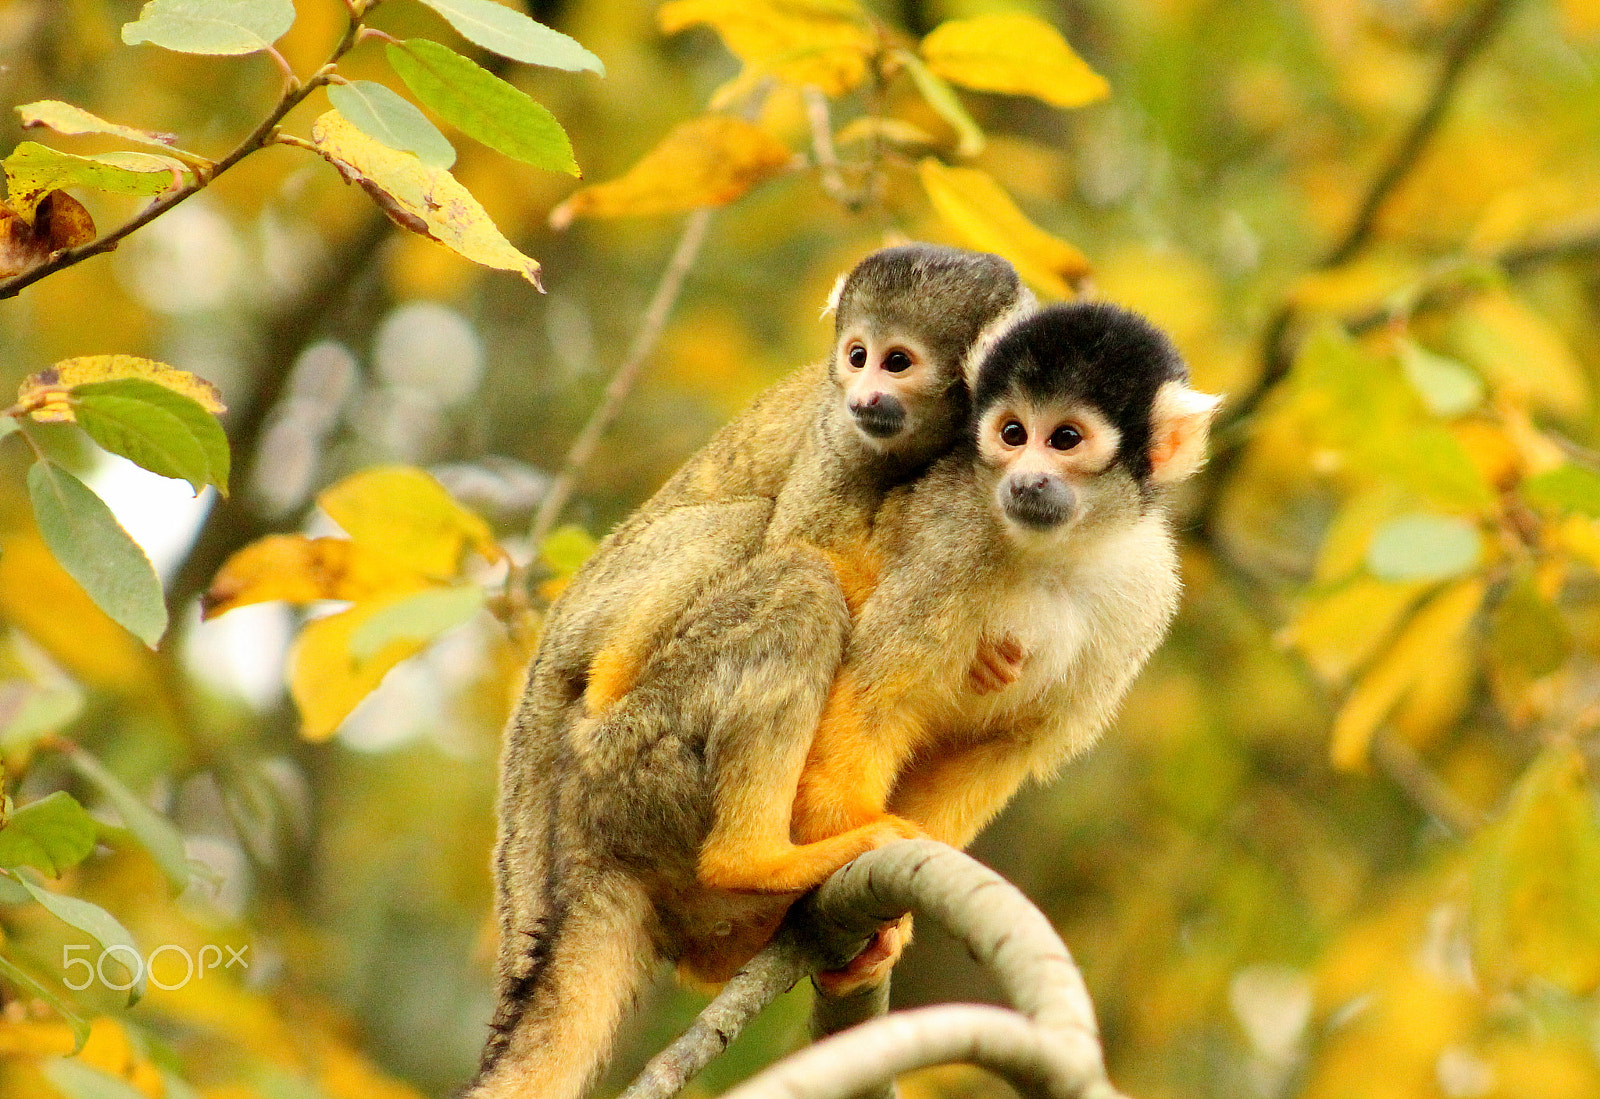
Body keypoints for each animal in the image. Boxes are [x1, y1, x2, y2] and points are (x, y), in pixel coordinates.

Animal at [469, 245, 1034, 1099]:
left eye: (898, 361)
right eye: (858, 354)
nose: (866, 393)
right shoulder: (837, 438)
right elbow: (810, 537)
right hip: (607, 612)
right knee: (757, 533)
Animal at [783, 301, 1221, 990]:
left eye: (1064, 439)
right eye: (1013, 434)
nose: (1026, 480)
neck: (1053, 551)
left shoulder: (1144, 592)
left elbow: (1007, 745)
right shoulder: (951, 536)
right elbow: (875, 695)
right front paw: (852, 830)